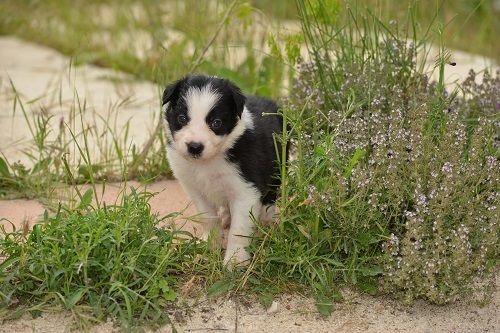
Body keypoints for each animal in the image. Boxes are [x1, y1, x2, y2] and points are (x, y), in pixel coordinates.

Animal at [162, 74, 288, 266]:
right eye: (182, 118)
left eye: (216, 122)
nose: (194, 147)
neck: (208, 162)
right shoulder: (195, 188)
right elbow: (207, 217)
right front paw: (209, 246)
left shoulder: (245, 189)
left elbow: (239, 229)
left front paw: (235, 261)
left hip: (277, 168)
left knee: (270, 196)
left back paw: (265, 220)